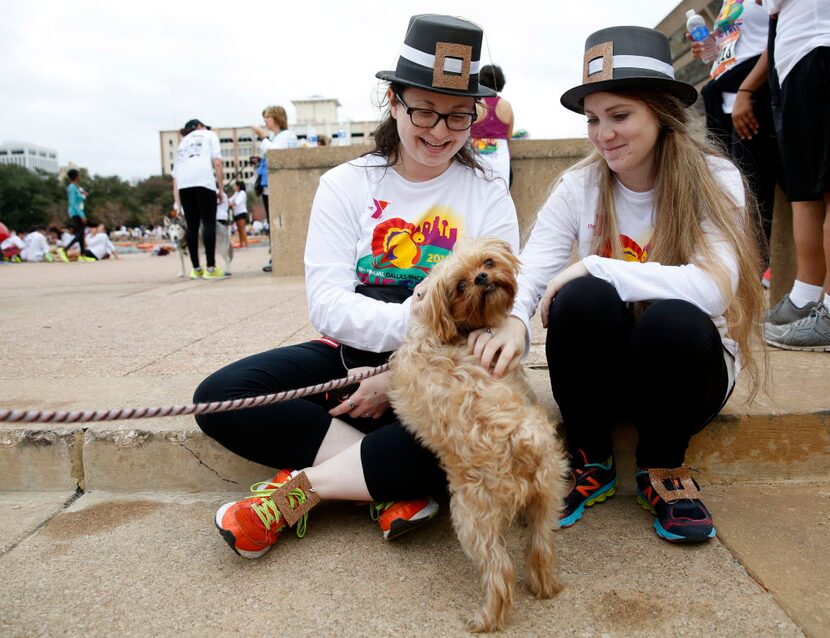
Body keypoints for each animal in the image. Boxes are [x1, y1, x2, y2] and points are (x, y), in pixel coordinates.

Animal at [392, 238, 572, 632]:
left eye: (487, 262)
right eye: (460, 285)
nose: (482, 278)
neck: (442, 332)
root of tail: (518, 442)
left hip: (471, 518)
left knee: (500, 572)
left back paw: (487, 619)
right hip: (547, 499)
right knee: (539, 549)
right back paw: (545, 587)